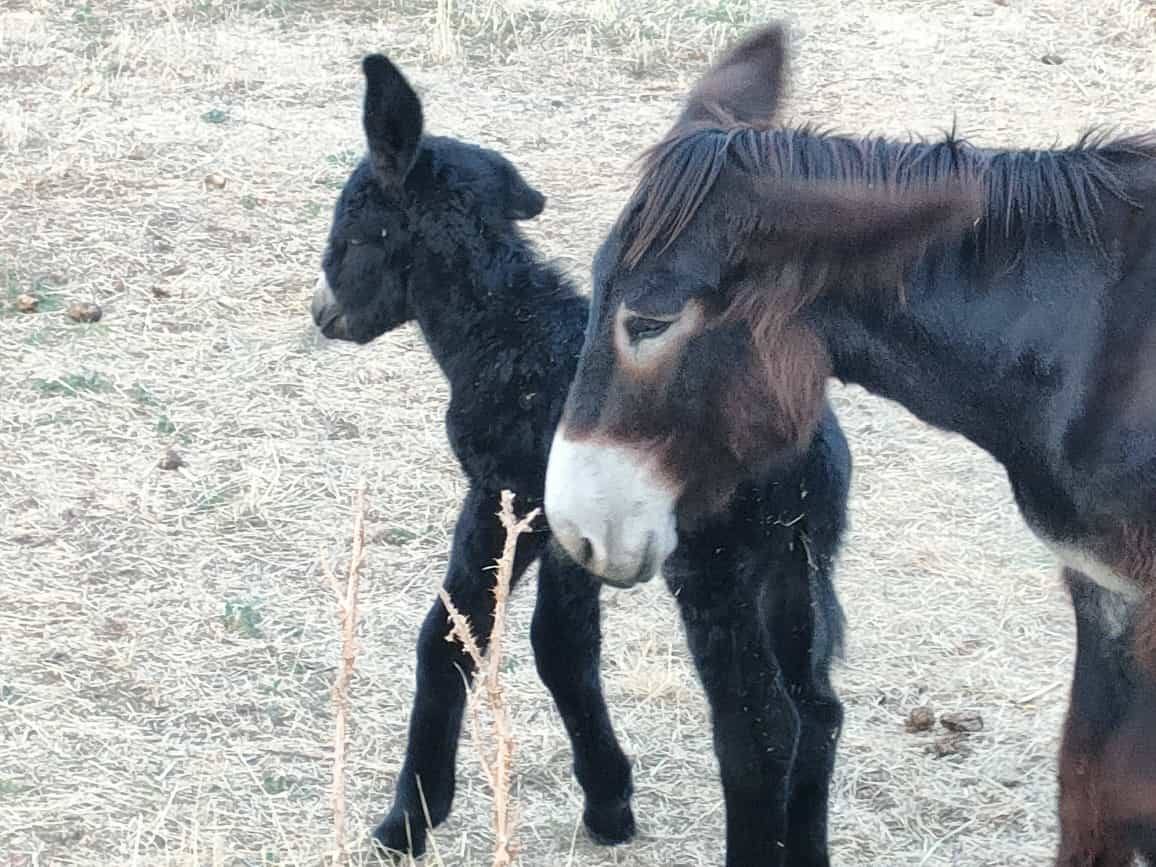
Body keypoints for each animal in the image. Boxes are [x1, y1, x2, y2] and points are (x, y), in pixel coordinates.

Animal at [312, 56, 855, 867]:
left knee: (760, 730)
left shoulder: (505, 493)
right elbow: (558, 645)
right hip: (795, 561)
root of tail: (802, 456)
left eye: (351, 230)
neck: (504, 332)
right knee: (817, 709)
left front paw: (407, 822)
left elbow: (455, 636)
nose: (323, 314)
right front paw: (608, 801)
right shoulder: (571, 529)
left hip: (717, 568)